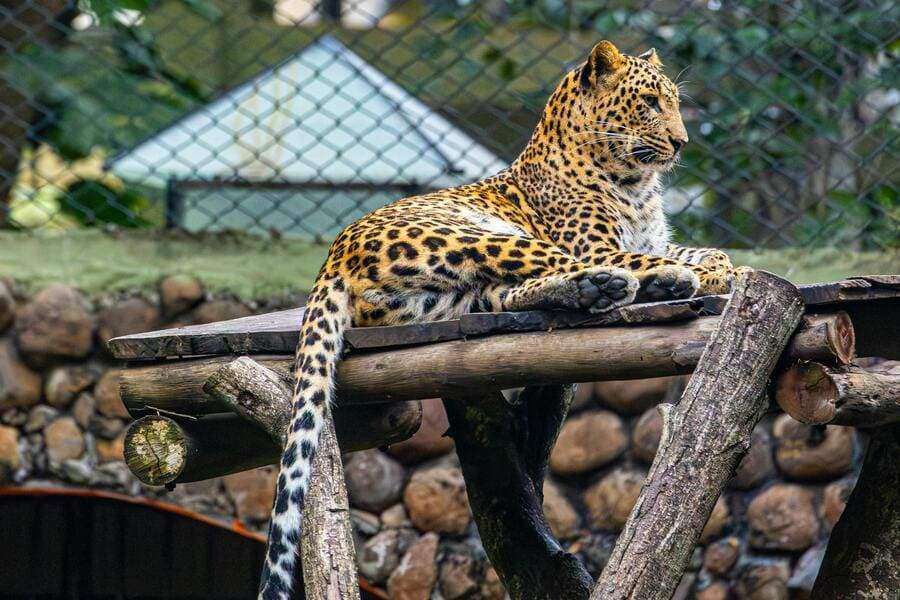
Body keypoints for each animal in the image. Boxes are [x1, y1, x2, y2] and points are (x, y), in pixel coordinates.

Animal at [259, 40, 746, 599]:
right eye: (648, 103)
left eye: (674, 103)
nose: (681, 142)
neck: (636, 185)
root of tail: (334, 256)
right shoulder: (597, 245)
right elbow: (664, 258)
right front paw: (712, 273)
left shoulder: (654, 239)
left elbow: (707, 249)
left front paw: (726, 266)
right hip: (478, 233)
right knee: (565, 266)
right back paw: (641, 284)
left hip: (454, 296)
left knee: (508, 291)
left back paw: (604, 289)